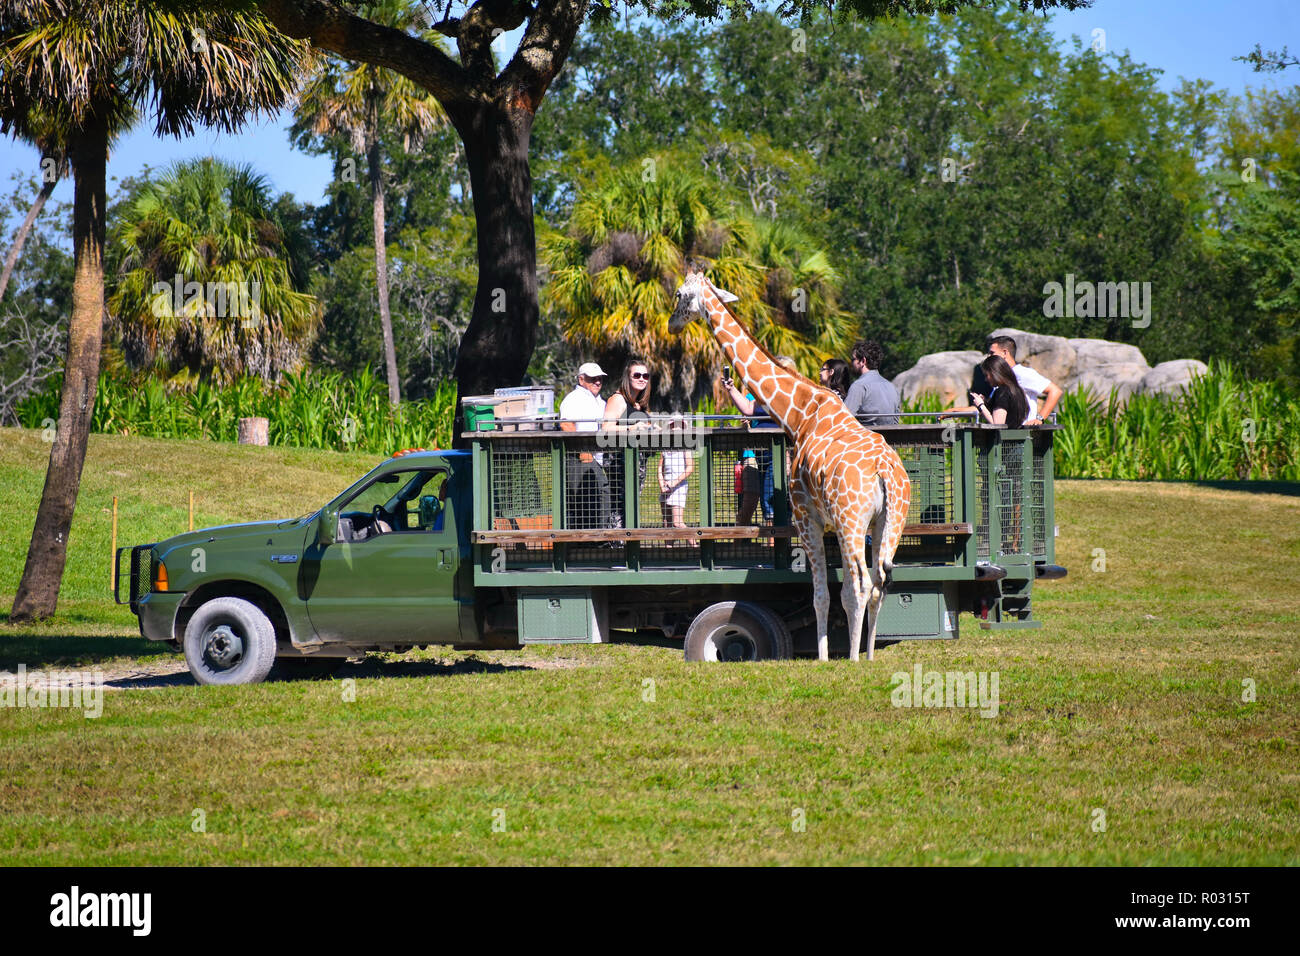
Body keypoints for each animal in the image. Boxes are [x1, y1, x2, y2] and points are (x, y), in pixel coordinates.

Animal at [676, 265, 909, 660]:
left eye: (679, 294)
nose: (673, 323)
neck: (798, 414)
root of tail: (886, 474)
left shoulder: (806, 517)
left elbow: (821, 595)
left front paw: (824, 657)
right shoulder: (830, 523)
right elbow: (834, 592)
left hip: (852, 520)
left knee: (862, 584)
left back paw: (853, 659)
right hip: (890, 522)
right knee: (880, 582)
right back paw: (870, 655)